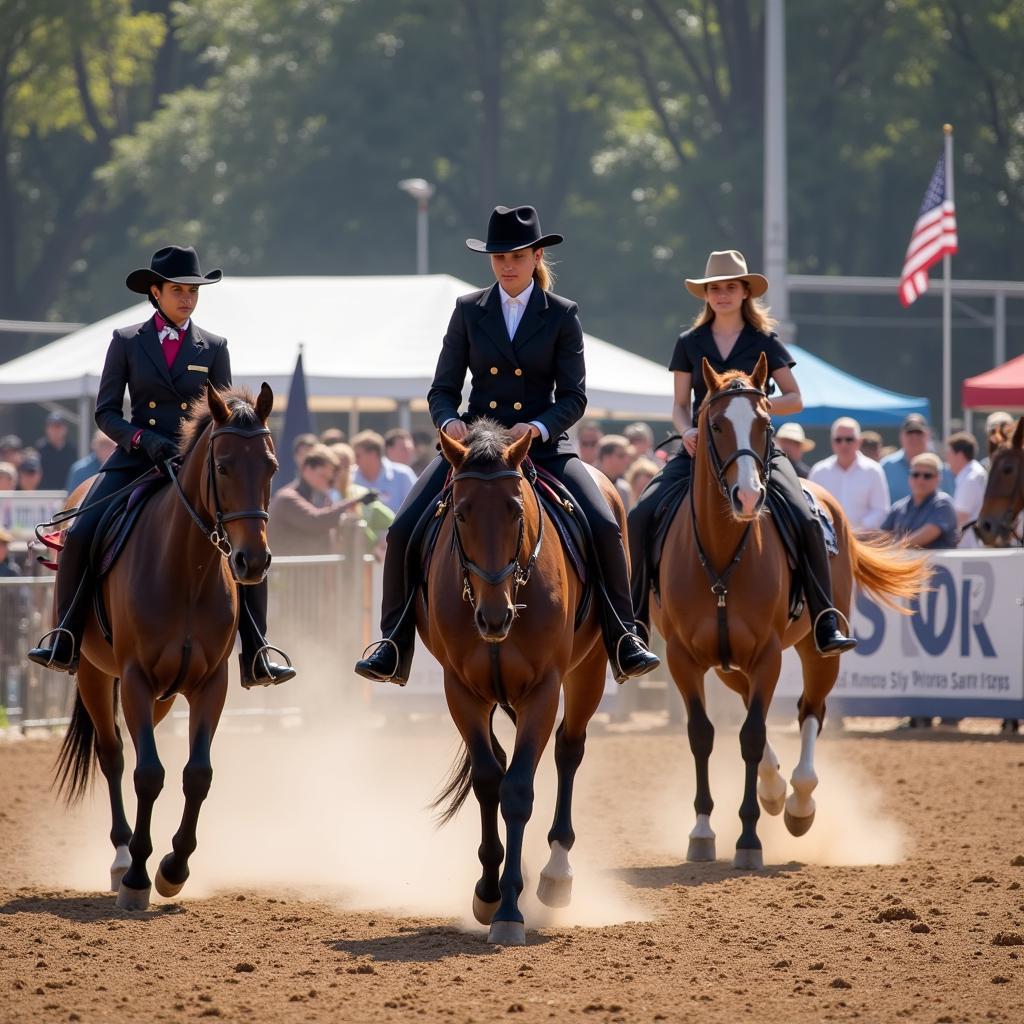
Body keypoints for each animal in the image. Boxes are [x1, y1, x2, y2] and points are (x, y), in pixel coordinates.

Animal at [51, 385, 276, 913]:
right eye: (223, 467)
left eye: (272, 467)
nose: (252, 561)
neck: (187, 568)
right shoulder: (134, 678)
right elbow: (148, 774)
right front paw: (137, 875)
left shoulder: (211, 683)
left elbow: (197, 774)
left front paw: (173, 869)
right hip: (95, 674)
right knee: (114, 756)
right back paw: (120, 856)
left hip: (164, 695)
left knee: (138, 747)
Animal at [428, 419, 618, 946]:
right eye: (461, 513)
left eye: (515, 510)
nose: (494, 618)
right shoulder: (461, 691)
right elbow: (489, 781)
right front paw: (489, 892)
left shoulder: (543, 690)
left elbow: (517, 790)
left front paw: (510, 909)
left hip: (590, 670)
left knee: (569, 749)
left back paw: (555, 875)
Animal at [651, 356, 933, 868]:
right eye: (715, 425)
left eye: (765, 423)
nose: (748, 496)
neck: (722, 554)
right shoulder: (686, 658)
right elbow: (705, 734)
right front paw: (702, 831)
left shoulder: (767, 655)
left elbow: (751, 735)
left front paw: (748, 839)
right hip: (728, 665)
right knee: (758, 713)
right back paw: (775, 788)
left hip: (819, 651)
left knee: (810, 711)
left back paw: (799, 801)